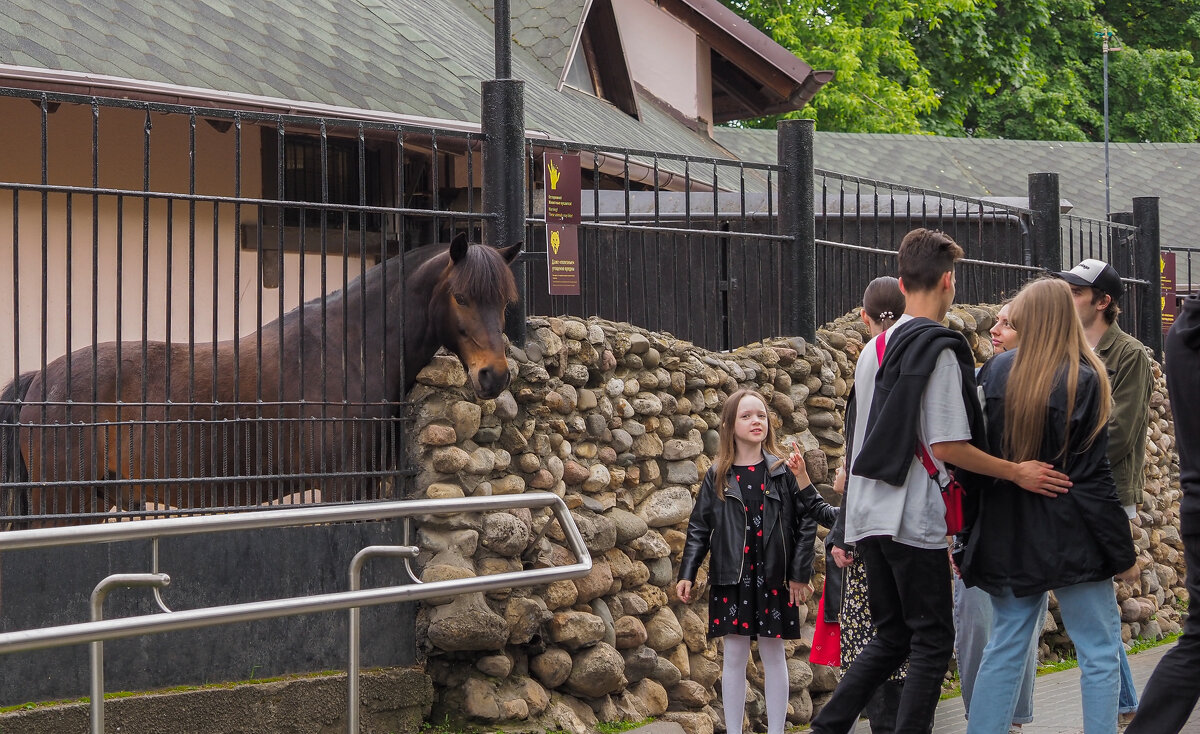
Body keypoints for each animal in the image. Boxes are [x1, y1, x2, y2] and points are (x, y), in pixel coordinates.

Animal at [2, 232, 523, 525]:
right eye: (460, 296)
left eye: (503, 300)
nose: (493, 375)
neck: (348, 352)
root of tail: (40, 380)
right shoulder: (341, 487)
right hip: (63, 502)